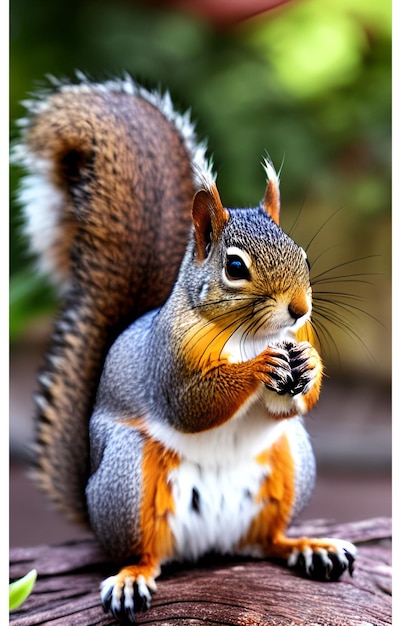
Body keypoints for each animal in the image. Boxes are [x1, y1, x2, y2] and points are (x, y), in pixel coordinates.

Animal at [14, 73, 354, 620]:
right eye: (234, 267)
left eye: (302, 254)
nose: (300, 310)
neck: (247, 334)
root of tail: (210, 544)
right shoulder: (167, 365)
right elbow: (192, 404)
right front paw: (259, 367)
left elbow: (288, 401)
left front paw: (309, 364)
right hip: (127, 478)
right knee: (144, 550)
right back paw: (132, 576)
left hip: (291, 459)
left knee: (267, 540)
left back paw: (306, 546)